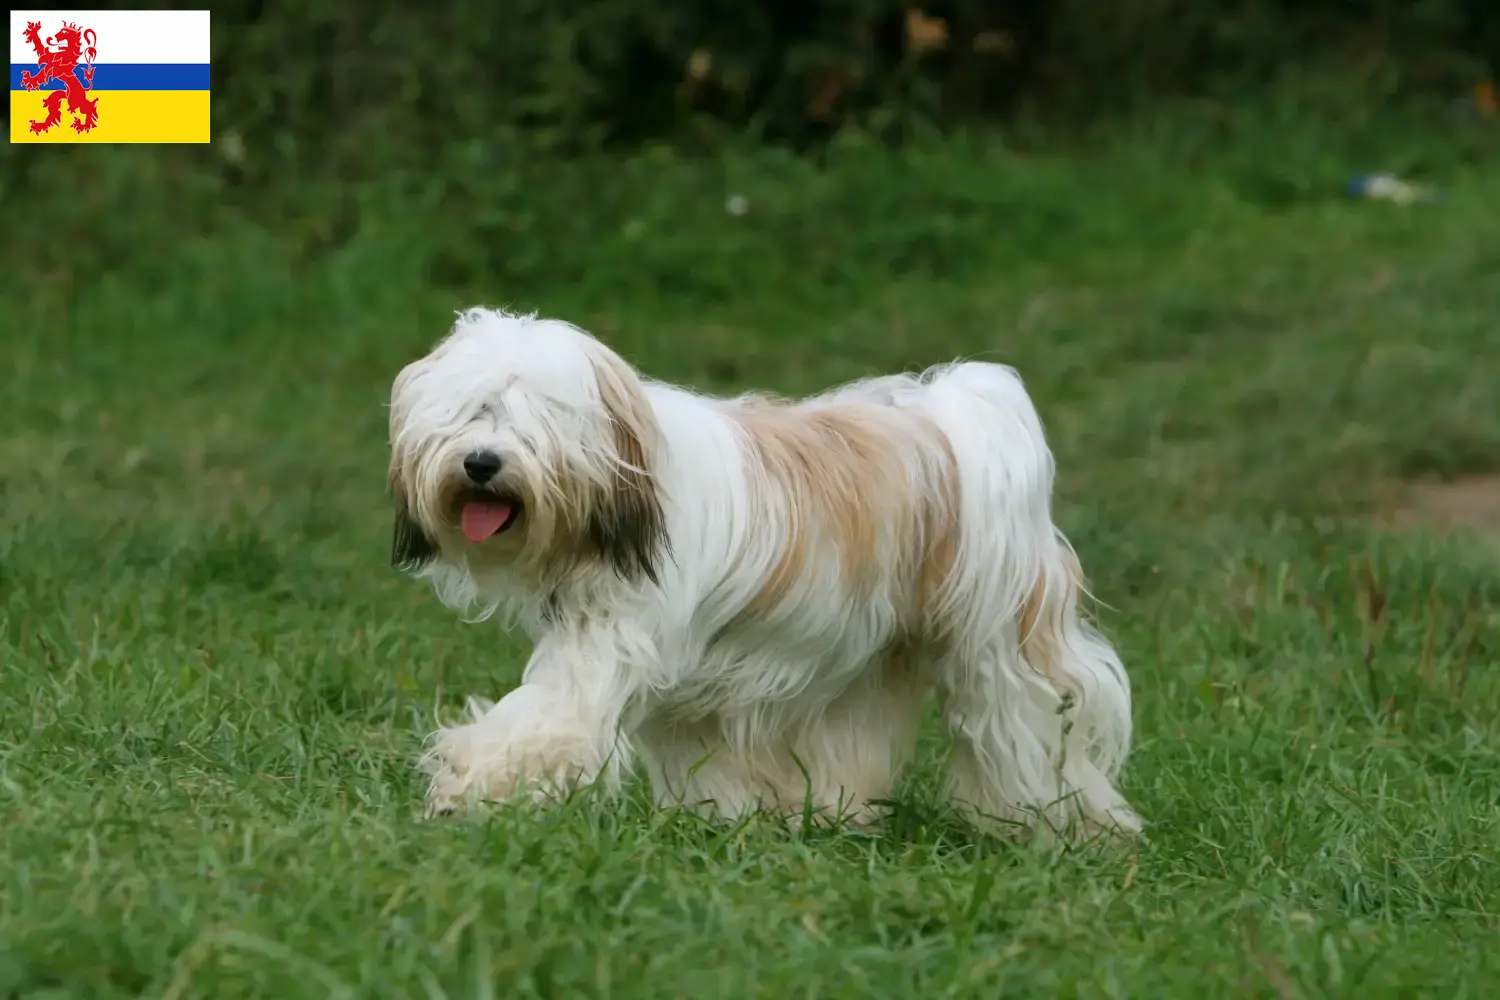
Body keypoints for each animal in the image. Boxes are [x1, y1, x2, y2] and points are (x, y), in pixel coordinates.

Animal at [387, 308, 1134, 839]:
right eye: (470, 412)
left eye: (534, 420)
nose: (480, 462)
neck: (631, 491)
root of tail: (952, 421)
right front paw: (729, 818)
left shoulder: (606, 646)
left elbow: (544, 721)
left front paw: (462, 789)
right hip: (861, 651)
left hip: (999, 647)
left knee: (1032, 728)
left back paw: (1067, 826)